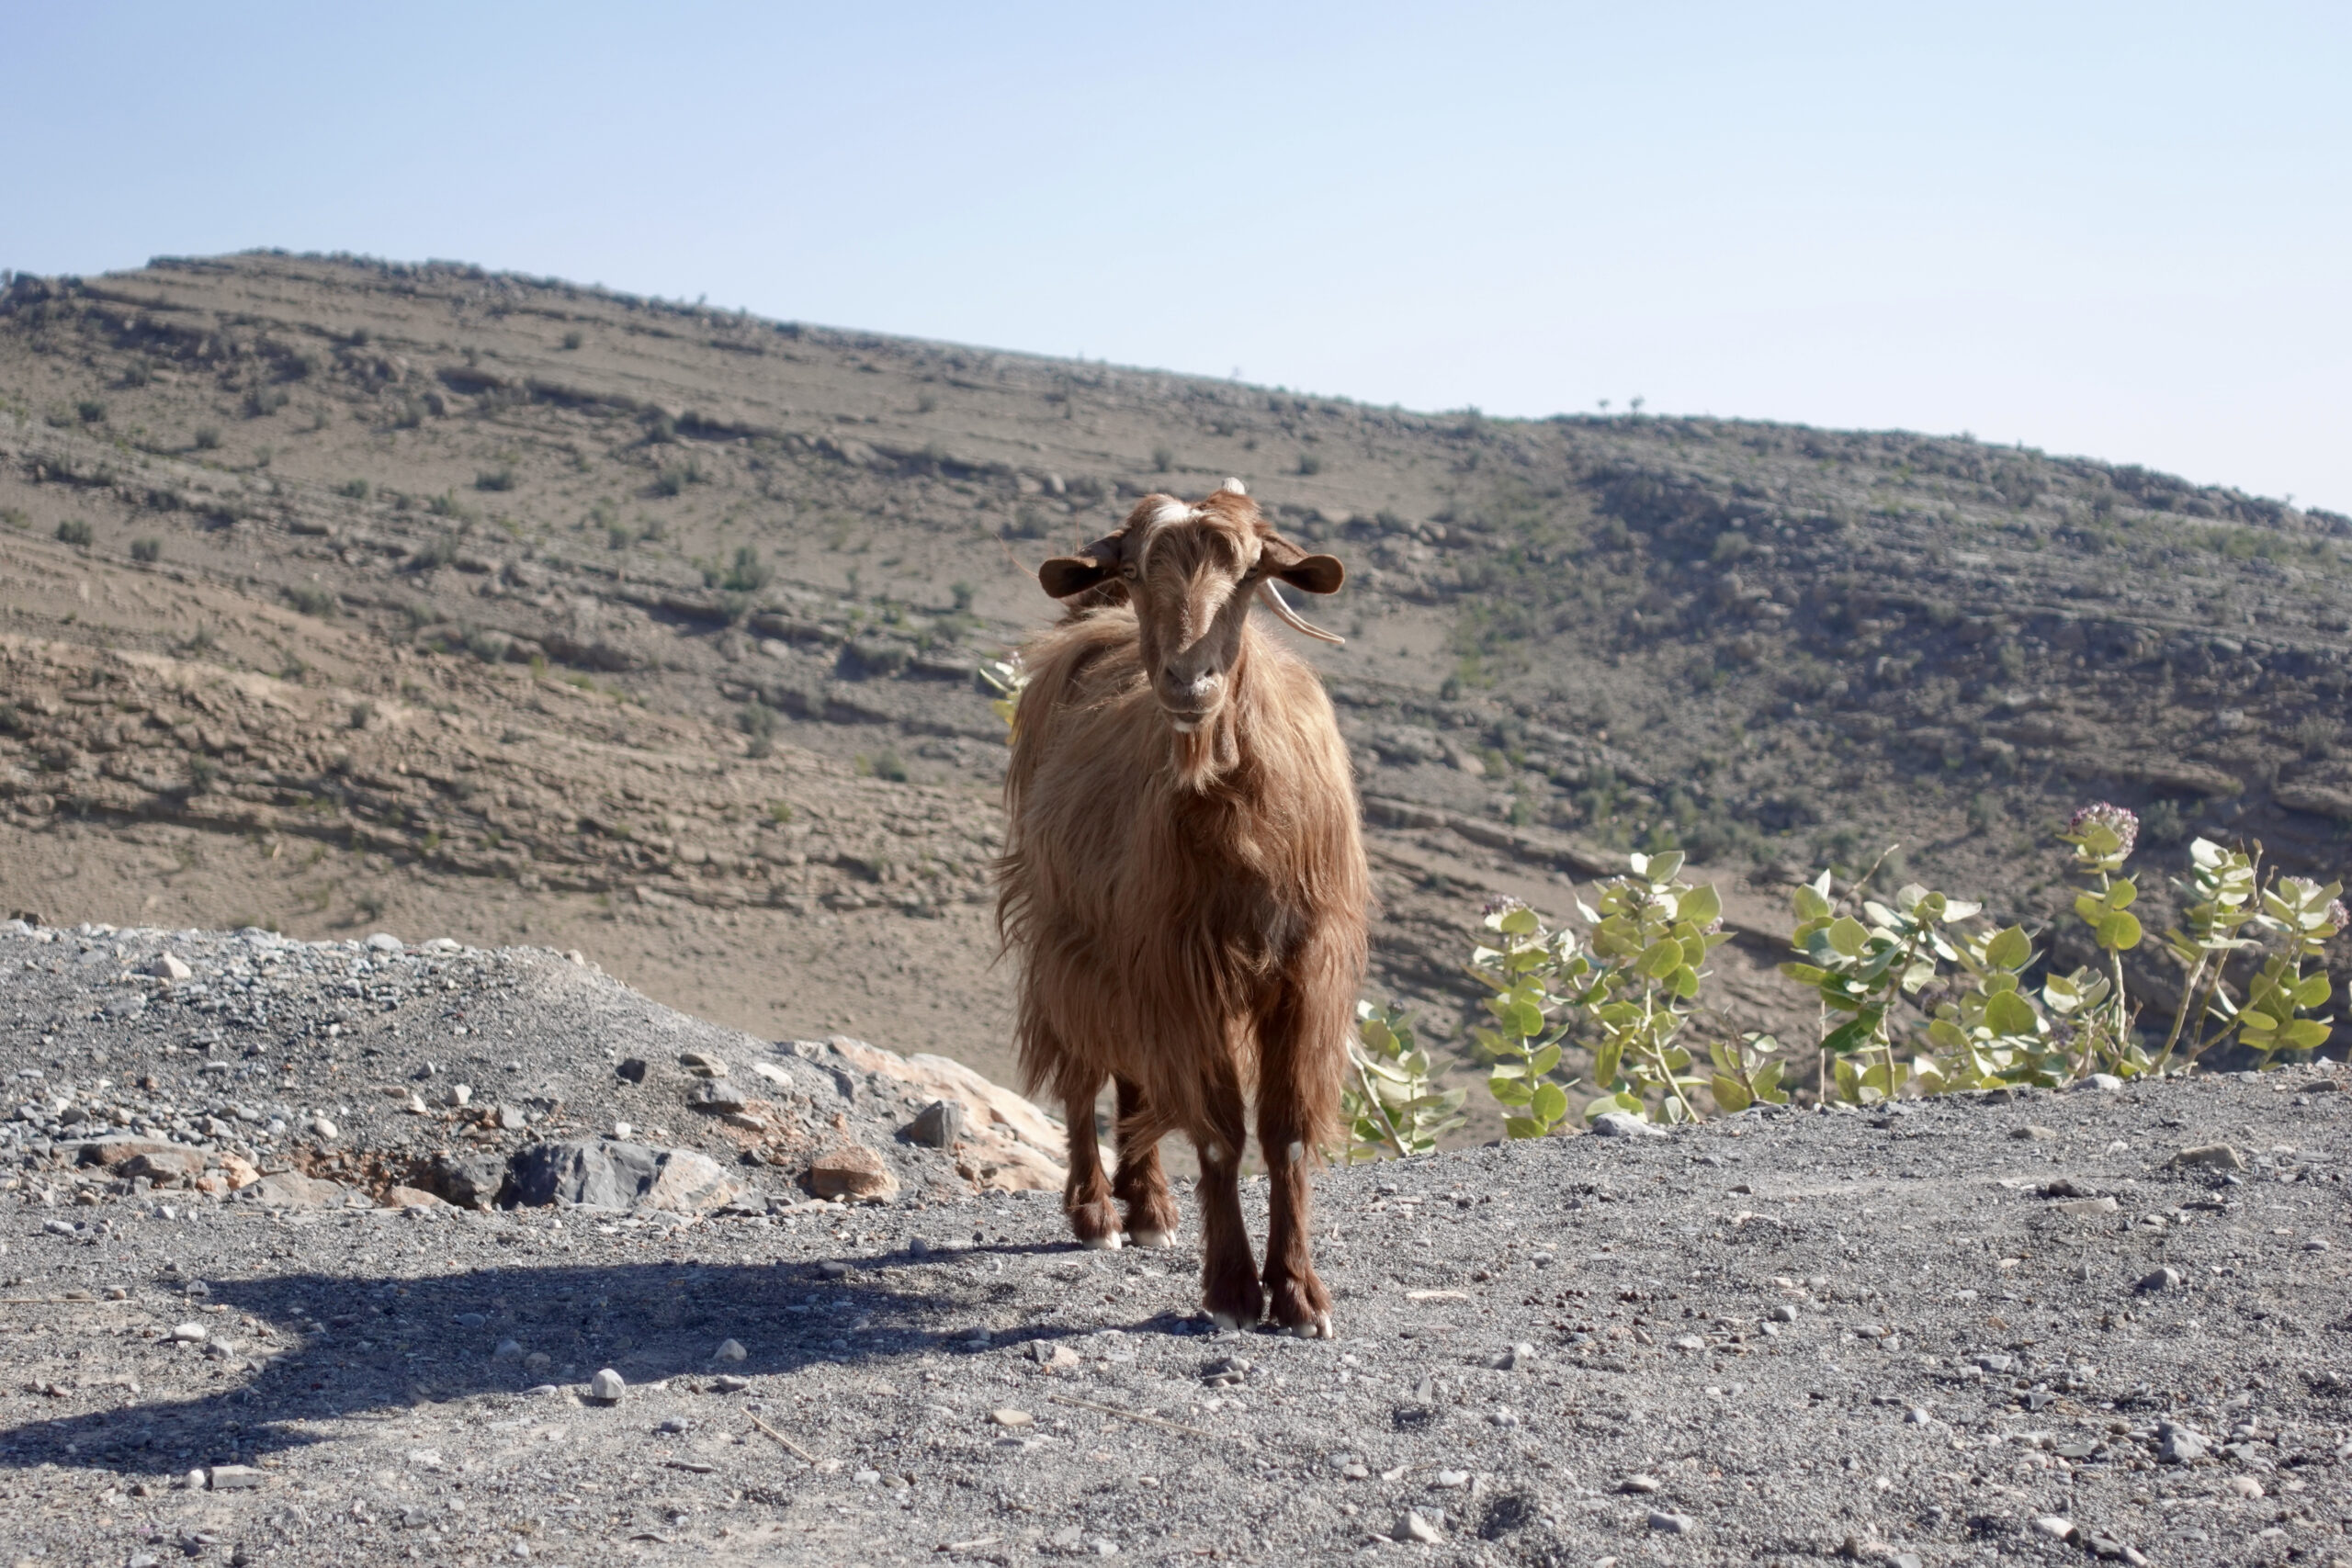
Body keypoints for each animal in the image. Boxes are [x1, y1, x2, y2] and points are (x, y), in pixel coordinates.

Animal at [997, 479, 1374, 1335]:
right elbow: (1220, 1132)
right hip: (1076, 941)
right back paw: (1099, 1211)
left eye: (1248, 574)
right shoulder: (1180, 965)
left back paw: (1148, 1208)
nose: (1187, 680)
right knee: (1084, 1068)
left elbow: (1287, 1133)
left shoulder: (1306, 969)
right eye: (1137, 571)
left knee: (1132, 1074)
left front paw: (1298, 1292)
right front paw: (1233, 1289)